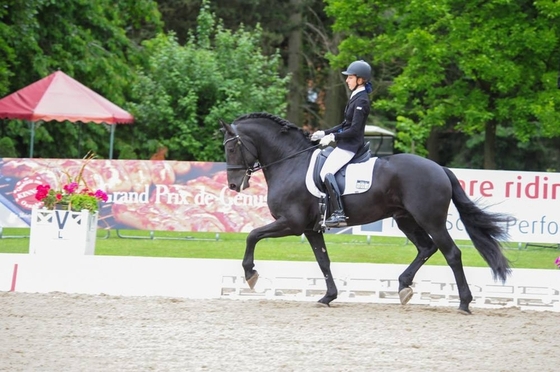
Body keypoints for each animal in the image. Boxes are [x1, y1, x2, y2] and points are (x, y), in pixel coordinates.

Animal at [221, 112, 510, 314]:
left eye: (231, 148)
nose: (234, 185)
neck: (291, 162)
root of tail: (439, 168)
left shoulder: (291, 224)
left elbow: (252, 235)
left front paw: (250, 275)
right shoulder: (311, 229)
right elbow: (323, 261)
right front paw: (328, 297)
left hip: (431, 220)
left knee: (452, 254)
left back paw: (464, 303)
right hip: (405, 219)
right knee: (426, 248)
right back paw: (404, 287)